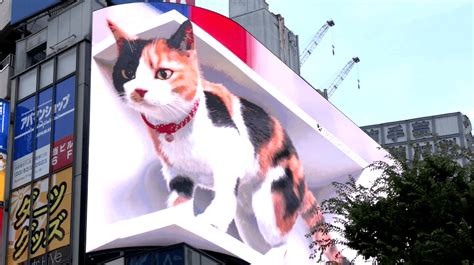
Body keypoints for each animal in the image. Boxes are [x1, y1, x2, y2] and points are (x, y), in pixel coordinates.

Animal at [107, 19, 342, 262]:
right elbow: (179, 202)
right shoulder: (177, 172)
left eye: (163, 73)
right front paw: (181, 220)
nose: (139, 90)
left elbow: (223, 197)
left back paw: (271, 255)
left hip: (271, 199)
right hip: (246, 213)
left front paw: (209, 222)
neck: (175, 125)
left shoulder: (229, 157)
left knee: (282, 241)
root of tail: (301, 173)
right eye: (128, 72)